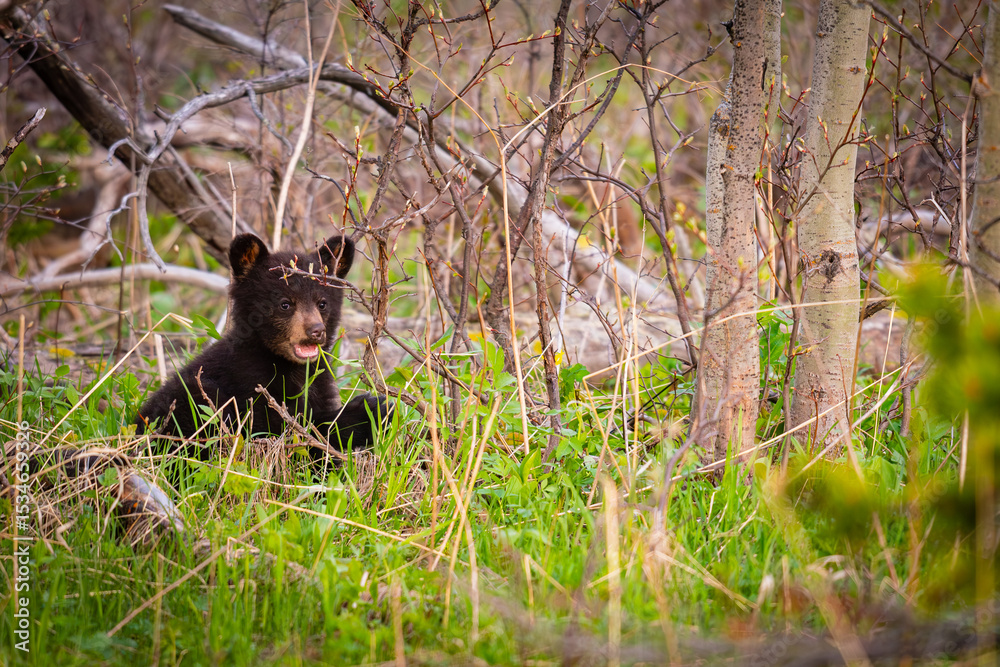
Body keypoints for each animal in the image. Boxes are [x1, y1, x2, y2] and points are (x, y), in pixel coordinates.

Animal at [135, 233, 390, 456]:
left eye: (322, 303)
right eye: (285, 304)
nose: (316, 331)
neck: (287, 367)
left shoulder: (318, 384)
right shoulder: (248, 385)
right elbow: (284, 430)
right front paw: (373, 409)